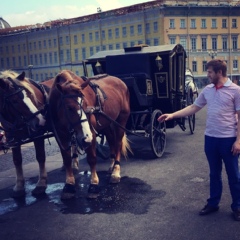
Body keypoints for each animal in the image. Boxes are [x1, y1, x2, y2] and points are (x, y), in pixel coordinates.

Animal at [48, 69, 131, 199]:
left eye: (86, 105)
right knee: (111, 141)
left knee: (117, 143)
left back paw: (116, 172)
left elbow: (92, 158)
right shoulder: (61, 135)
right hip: (107, 124)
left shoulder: (91, 132)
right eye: (69, 108)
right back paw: (112, 165)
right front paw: (69, 184)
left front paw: (93, 185)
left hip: (121, 120)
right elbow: (66, 159)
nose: (86, 137)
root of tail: (121, 82)